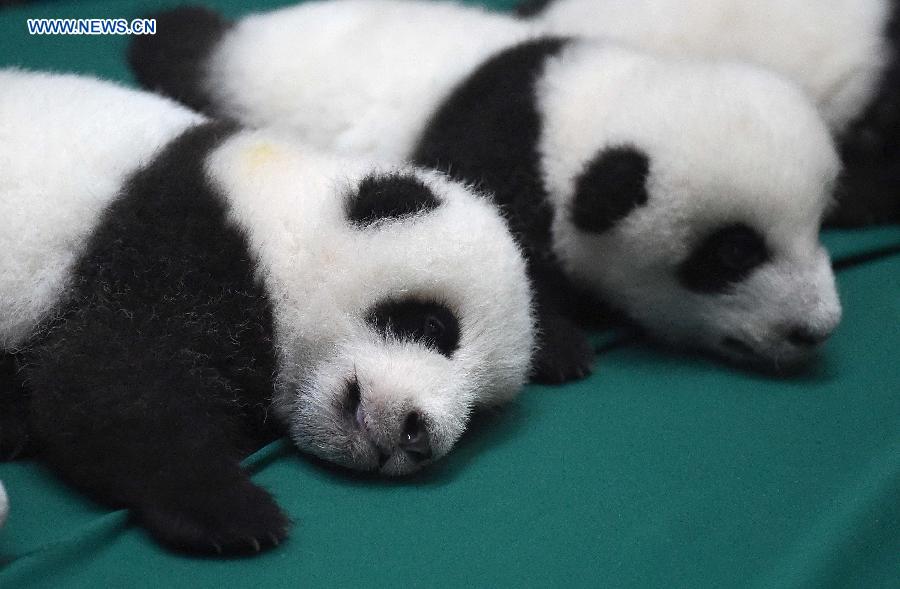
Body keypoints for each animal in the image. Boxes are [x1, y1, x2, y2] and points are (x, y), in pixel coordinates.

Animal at [0, 71, 536, 552]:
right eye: (434, 326)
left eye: (479, 411)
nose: (417, 436)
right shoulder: (179, 240)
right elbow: (105, 374)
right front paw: (230, 511)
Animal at [128, 0, 844, 374]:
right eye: (733, 254)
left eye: (816, 226)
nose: (816, 330)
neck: (571, 105)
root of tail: (246, 41)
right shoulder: (495, 150)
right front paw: (559, 347)